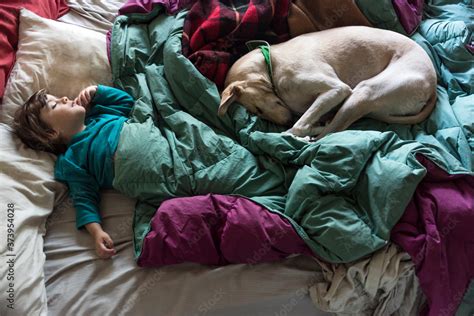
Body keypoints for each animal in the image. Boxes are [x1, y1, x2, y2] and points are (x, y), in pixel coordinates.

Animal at [218, 26, 436, 140]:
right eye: (257, 112)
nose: (286, 120)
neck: (272, 62)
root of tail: (433, 85)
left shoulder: (337, 89)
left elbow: (299, 125)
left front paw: (290, 132)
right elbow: (304, 122)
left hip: (362, 93)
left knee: (330, 132)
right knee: (331, 128)